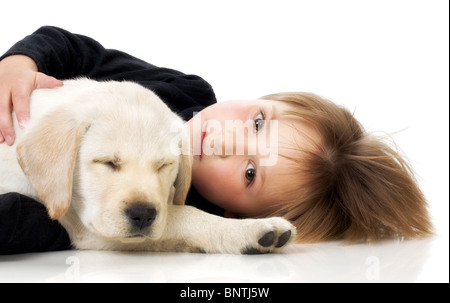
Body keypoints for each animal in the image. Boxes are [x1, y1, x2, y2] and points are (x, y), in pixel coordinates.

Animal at [0, 78, 296, 254]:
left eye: (164, 165)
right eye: (107, 162)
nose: (142, 214)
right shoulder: (86, 227)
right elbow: (184, 213)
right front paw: (254, 230)